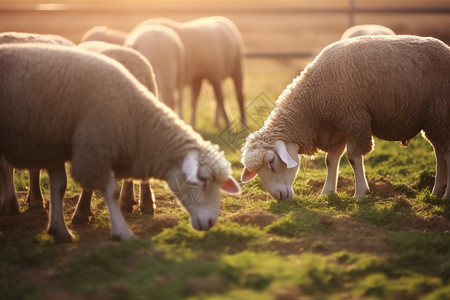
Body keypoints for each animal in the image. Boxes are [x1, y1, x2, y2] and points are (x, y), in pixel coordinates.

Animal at [0, 44, 241, 241]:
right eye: (202, 182)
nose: (210, 222)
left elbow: (60, 186)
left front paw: (61, 228)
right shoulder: (89, 144)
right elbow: (103, 189)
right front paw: (118, 230)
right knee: (7, 168)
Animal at [243, 35, 450, 200]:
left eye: (272, 162)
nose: (278, 197)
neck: (312, 104)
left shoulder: (354, 120)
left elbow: (352, 158)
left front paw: (360, 194)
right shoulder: (337, 129)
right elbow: (331, 160)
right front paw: (326, 192)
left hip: (441, 110)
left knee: (445, 151)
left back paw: (446, 196)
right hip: (434, 118)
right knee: (439, 151)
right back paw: (436, 192)